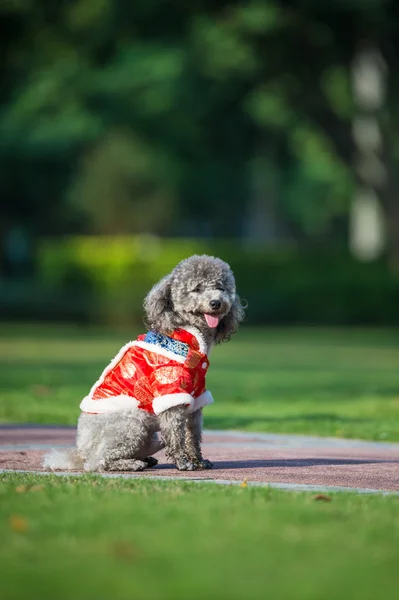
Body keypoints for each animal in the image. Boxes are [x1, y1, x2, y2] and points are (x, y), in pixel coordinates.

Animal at [43, 255, 244, 472]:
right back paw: (132, 464)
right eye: (197, 288)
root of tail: (80, 452)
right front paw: (183, 462)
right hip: (132, 423)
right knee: (98, 462)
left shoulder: (196, 395)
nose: (216, 302)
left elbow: (193, 434)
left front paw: (198, 460)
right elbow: (176, 433)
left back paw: (146, 459)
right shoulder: (169, 389)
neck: (188, 336)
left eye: (220, 287)